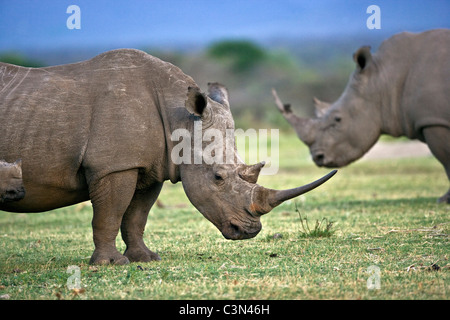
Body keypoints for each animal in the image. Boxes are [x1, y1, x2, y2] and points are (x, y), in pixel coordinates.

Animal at [0, 49, 336, 264]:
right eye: (218, 177)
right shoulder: (114, 166)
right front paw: (110, 264)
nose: (249, 232)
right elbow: (109, 213)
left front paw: (146, 259)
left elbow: (136, 216)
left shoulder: (149, 166)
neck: (181, 119)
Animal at [272, 29, 448, 202]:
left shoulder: (434, 121)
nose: (318, 157)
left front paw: (444, 200)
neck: (384, 80)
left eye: (337, 119)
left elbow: (444, 158)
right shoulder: (432, 119)